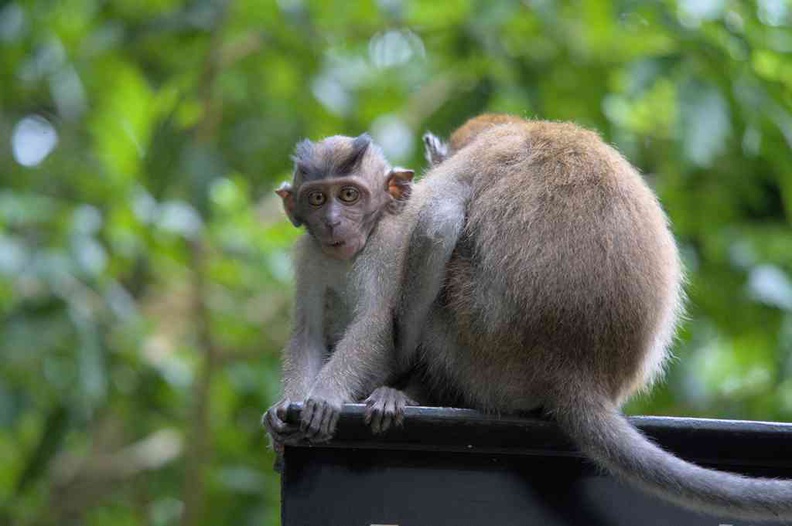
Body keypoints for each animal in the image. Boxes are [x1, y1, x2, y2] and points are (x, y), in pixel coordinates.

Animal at [262, 135, 420, 450]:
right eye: (317, 198)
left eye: (348, 194)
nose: (332, 221)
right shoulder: (309, 256)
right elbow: (308, 333)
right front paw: (285, 408)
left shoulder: (386, 242)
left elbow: (373, 320)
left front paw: (325, 396)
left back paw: (392, 396)